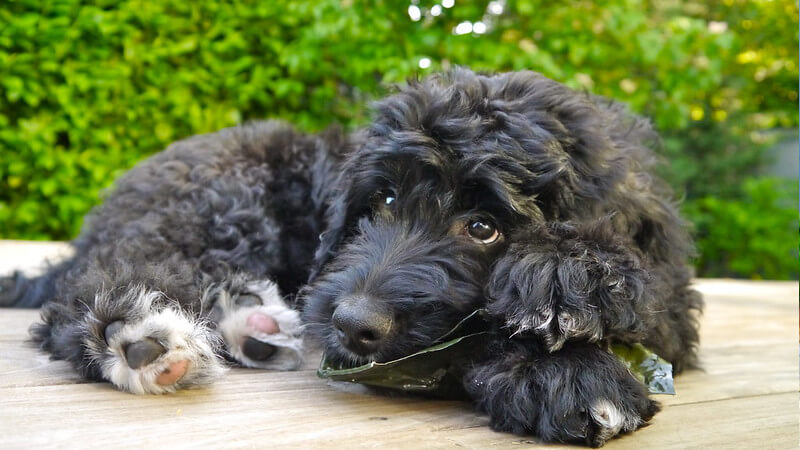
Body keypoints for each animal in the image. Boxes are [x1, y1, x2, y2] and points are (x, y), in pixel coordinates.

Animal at [0, 70, 700, 446]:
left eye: (484, 228)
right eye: (382, 199)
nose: (351, 324)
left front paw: (568, 277)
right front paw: (568, 372)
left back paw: (253, 326)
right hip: (219, 201)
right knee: (87, 290)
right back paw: (141, 334)